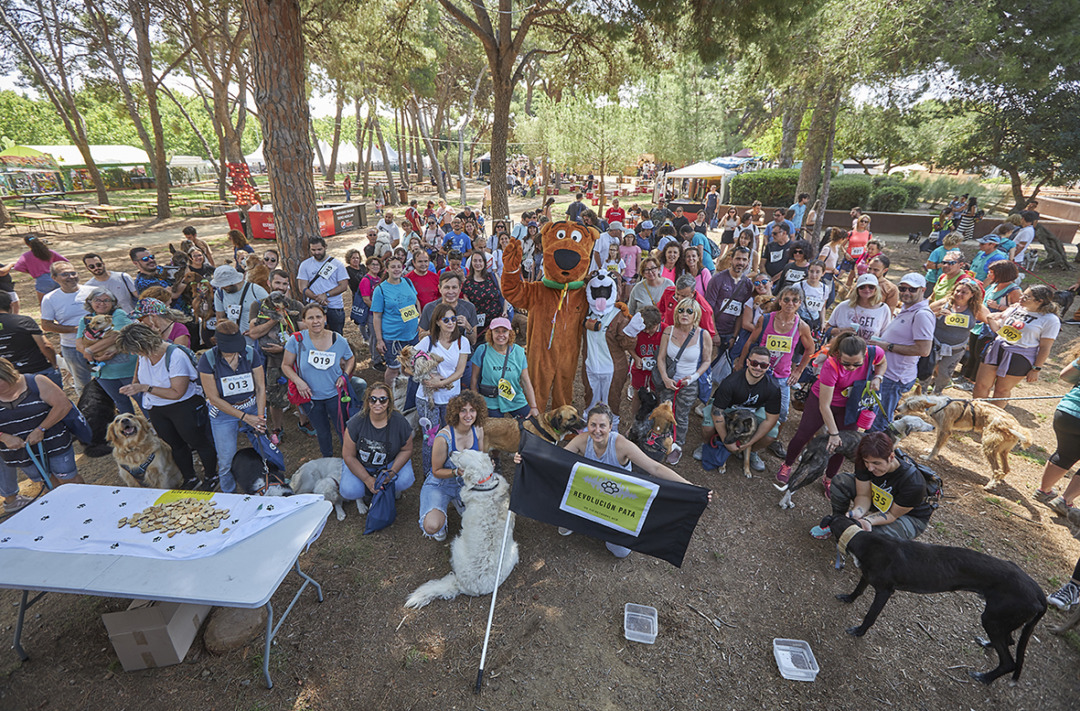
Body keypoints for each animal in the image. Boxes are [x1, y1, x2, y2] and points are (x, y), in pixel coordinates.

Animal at [406, 451, 520, 605]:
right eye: (465, 450)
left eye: (461, 457)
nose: (450, 452)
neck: (484, 484)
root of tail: (461, 585)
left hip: (459, 544)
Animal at [816, 512, 1045, 682]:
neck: (861, 538)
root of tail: (1038, 591)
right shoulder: (866, 575)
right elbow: (858, 590)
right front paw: (848, 598)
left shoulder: (885, 591)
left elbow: (870, 616)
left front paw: (859, 631)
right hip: (1001, 620)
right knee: (1010, 641)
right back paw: (987, 645)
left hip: (993, 618)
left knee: (1009, 662)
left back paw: (984, 678)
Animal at [889, 393, 1032, 488]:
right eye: (906, 401)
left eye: (909, 405)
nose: (897, 409)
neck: (939, 405)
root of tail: (1016, 426)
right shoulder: (942, 430)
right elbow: (937, 445)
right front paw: (930, 451)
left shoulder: (945, 431)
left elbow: (937, 446)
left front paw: (929, 457)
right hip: (1002, 451)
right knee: (1006, 469)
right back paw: (997, 482)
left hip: (988, 446)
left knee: (997, 470)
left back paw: (990, 485)